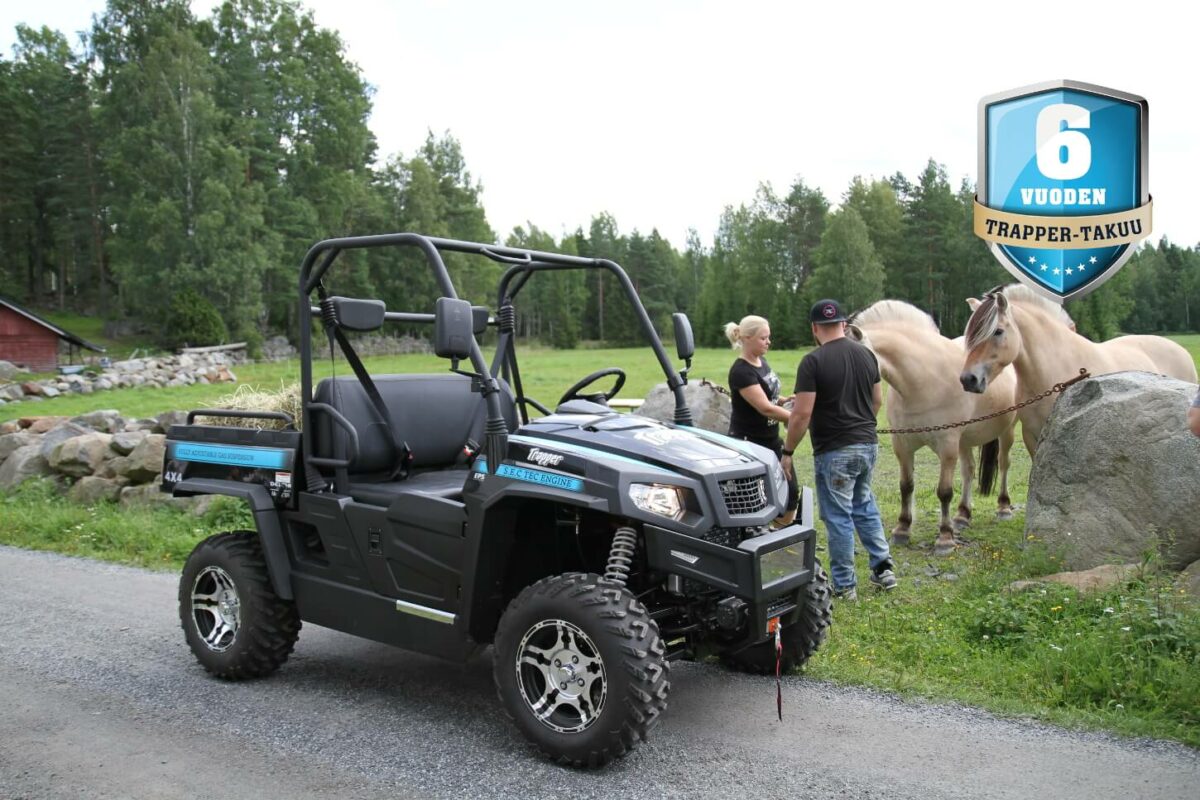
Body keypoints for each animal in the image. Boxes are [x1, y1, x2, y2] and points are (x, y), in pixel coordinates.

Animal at [847, 300, 1019, 555]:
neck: (924, 380)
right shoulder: (903, 445)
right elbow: (906, 486)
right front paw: (902, 529)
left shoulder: (947, 445)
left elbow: (944, 491)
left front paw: (945, 538)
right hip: (965, 440)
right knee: (968, 470)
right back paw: (962, 515)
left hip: (1006, 431)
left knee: (1004, 464)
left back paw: (1003, 507)